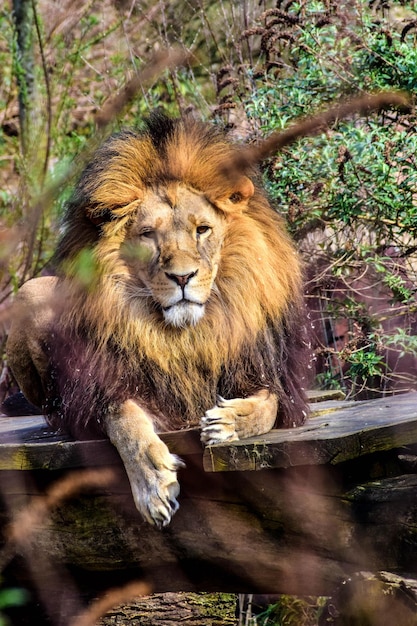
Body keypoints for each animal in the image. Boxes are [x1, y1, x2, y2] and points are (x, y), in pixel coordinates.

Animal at [6, 113, 308, 528]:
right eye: (148, 235)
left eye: (202, 229)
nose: (182, 277)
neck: (183, 336)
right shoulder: (105, 387)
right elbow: (126, 422)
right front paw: (153, 485)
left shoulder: (264, 370)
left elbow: (270, 404)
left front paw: (229, 421)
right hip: (32, 290)